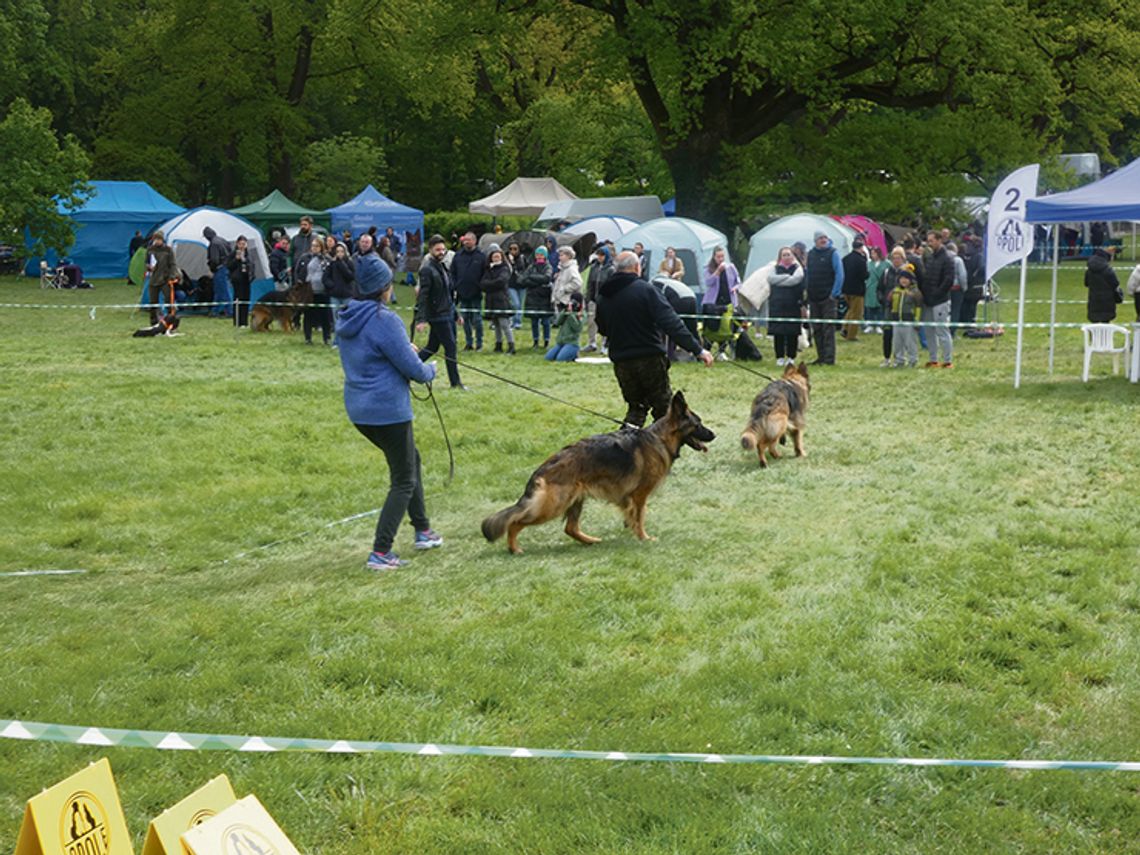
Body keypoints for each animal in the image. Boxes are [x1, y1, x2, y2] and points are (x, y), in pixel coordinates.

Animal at [478, 394, 711, 556]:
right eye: (698, 424)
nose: (714, 434)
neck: (660, 439)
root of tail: (544, 467)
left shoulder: (630, 498)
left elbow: (631, 516)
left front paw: (631, 530)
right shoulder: (639, 496)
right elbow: (640, 517)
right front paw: (644, 537)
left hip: (575, 500)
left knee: (570, 528)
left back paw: (590, 541)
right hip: (553, 505)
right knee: (515, 522)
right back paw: (514, 548)